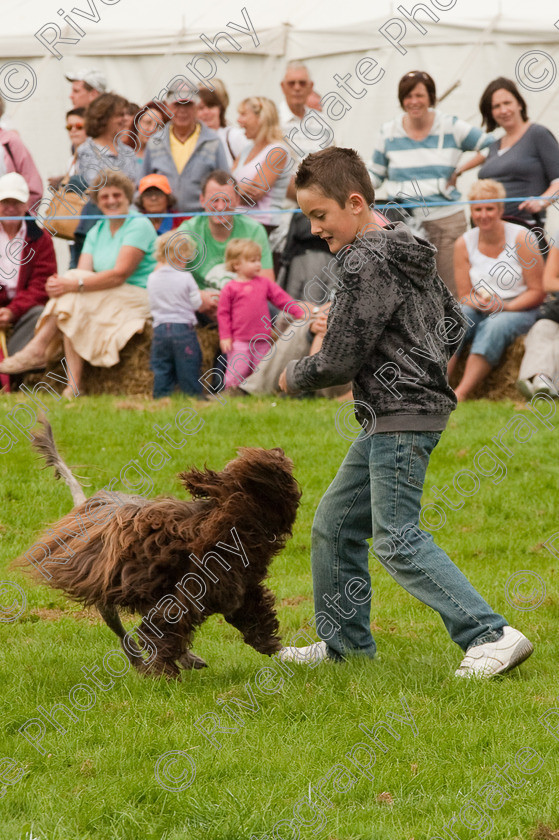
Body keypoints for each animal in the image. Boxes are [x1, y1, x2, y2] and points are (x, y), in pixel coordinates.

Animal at [17, 420, 300, 676]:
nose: (279, 449)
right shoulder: (189, 590)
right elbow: (161, 631)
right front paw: (163, 671)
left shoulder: (234, 590)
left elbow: (250, 617)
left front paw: (274, 646)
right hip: (107, 596)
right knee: (124, 633)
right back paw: (143, 663)